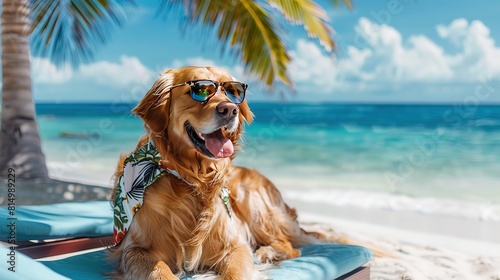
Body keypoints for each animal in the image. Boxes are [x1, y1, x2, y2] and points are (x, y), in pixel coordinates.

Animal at [111, 66, 334, 278]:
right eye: (200, 90)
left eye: (233, 92)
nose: (230, 109)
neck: (194, 180)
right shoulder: (135, 249)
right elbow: (159, 271)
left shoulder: (235, 245)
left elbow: (236, 272)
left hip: (252, 202)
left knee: (289, 246)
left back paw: (267, 252)